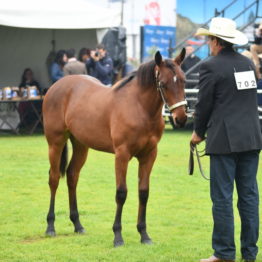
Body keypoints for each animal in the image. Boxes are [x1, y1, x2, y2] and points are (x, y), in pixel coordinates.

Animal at [42, 48, 186, 246]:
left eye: (184, 80)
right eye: (163, 84)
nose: (181, 118)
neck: (139, 107)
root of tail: (56, 86)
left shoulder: (149, 155)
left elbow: (144, 192)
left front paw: (144, 234)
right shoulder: (122, 154)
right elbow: (121, 193)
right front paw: (118, 236)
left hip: (81, 145)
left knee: (72, 176)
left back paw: (78, 224)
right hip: (55, 142)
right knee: (54, 178)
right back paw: (50, 226)